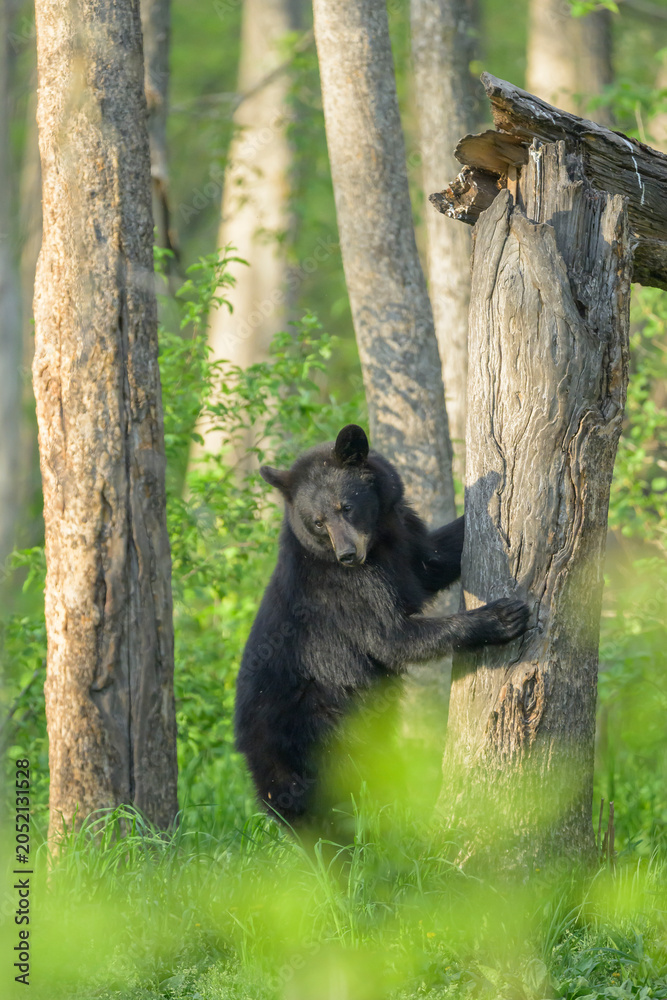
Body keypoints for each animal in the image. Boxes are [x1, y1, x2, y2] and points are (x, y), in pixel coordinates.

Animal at [234, 424, 529, 826]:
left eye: (346, 507)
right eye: (317, 521)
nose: (346, 554)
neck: (375, 543)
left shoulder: (401, 538)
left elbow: (433, 559)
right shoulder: (347, 590)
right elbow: (393, 638)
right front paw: (502, 617)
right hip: (316, 732)